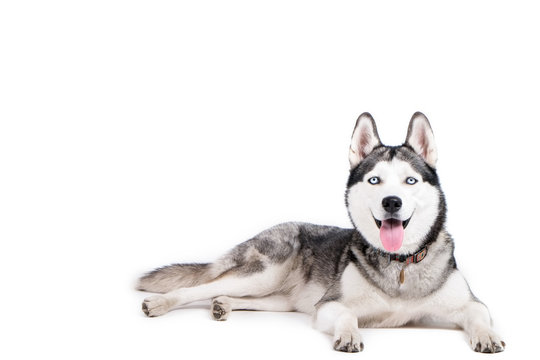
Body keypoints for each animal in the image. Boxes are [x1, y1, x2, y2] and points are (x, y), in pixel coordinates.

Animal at [138, 113, 506, 354]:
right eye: (375, 180)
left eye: (410, 180)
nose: (391, 202)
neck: (400, 265)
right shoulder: (328, 304)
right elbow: (347, 313)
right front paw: (349, 334)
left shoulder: (469, 304)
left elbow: (480, 314)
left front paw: (487, 335)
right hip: (263, 273)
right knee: (200, 287)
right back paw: (161, 302)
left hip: (279, 298)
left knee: (237, 296)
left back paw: (223, 305)